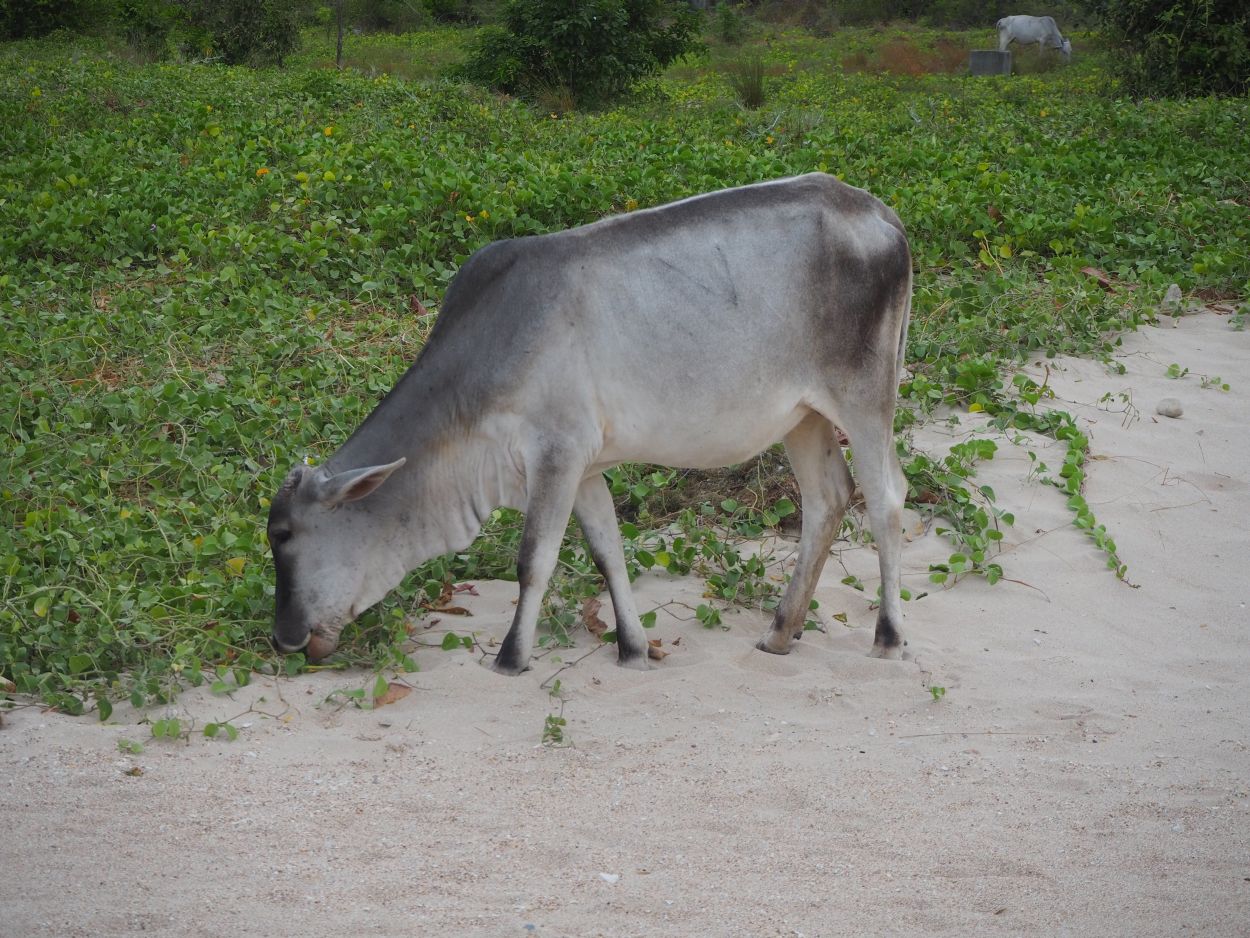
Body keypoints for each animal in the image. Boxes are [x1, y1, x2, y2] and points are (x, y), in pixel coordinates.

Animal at [268, 175, 915, 675]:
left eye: (284, 536)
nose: (283, 637)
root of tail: (877, 210)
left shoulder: (555, 453)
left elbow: (534, 559)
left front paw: (511, 657)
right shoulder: (582, 466)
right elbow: (607, 551)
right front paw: (632, 647)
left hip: (865, 397)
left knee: (886, 499)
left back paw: (888, 637)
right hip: (802, 417)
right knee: (828, 499)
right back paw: (781, 631)